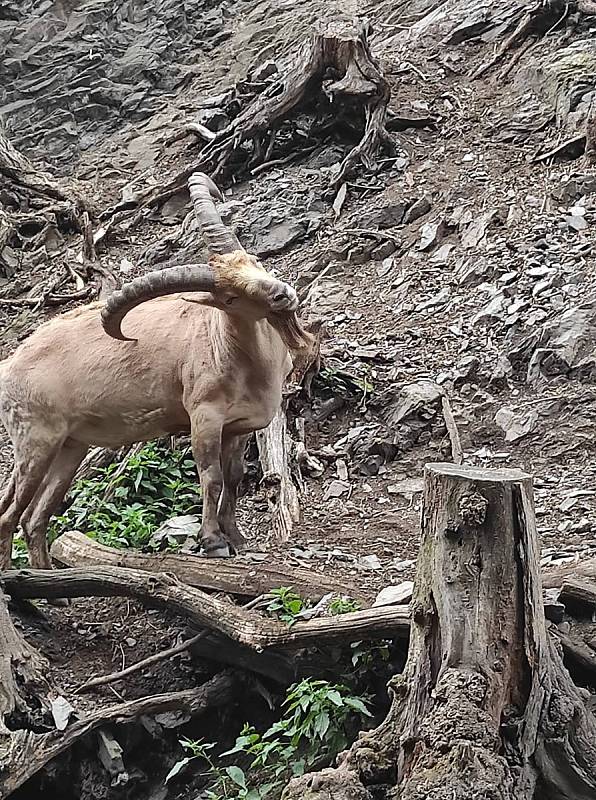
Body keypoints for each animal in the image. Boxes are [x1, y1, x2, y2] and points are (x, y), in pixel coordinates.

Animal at [0, 174, 312, 568]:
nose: (282, 294)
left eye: (253, 260)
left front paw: (238, 538)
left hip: (69, 446)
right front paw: (213, 542)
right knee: (9, 515)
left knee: (34, 517)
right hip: (35, 440)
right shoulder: (204, 416)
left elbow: (234, 477)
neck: (234, 353)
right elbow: (210, 477)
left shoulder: (238, 427)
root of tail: (7, 368)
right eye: (229, 298)